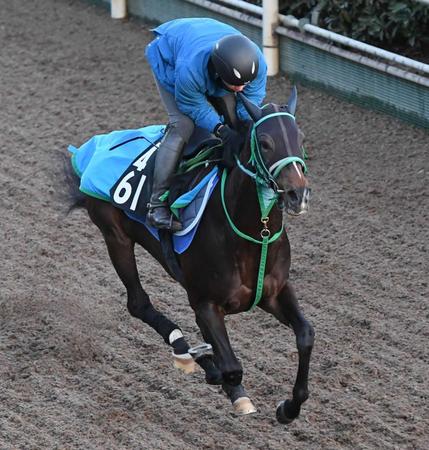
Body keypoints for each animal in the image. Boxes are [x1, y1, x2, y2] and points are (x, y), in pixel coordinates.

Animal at [66, 87, 314, 422]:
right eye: (264, 142)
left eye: (300, 138)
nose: (297, 195)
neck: (250, 236)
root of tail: (92, 148)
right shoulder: (204, 302)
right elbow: (232, 367)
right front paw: (226, 382)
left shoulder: (274, 292)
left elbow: (306, 335)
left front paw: (289, 408)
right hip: (115, 237)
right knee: (138, 303)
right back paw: (187, 352)